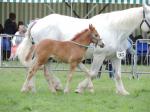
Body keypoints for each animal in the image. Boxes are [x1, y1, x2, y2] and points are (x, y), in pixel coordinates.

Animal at [17, 4, 150, 95]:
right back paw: (40, 87)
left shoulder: (115, 57)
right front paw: (80, 88)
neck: (114, 29)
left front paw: (122, 92)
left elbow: (117, 75)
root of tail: (37, 21)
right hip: (44, 56)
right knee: (37, 69)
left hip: (47, 57)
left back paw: (38, 88)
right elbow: (93, 74)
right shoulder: (99, 56)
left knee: (39, 70)